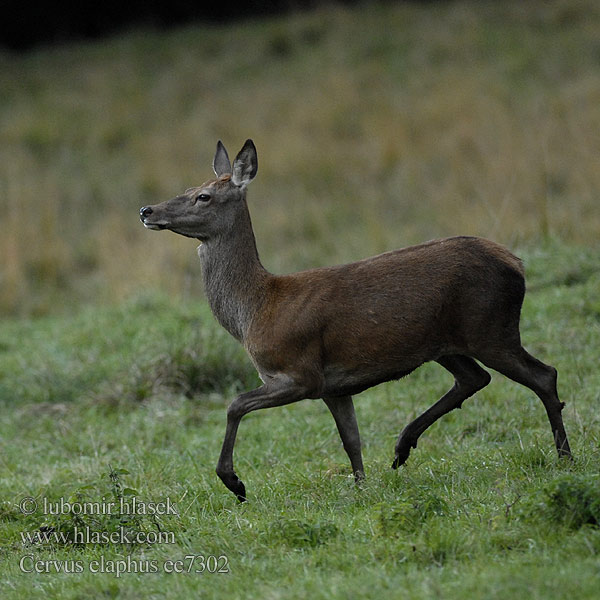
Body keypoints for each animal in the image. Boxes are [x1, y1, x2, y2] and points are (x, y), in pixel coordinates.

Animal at [139, 141, 572, 502]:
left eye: (203, 196)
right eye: (190, 186)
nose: (147, 211)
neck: (256, 309)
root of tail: (516, 263)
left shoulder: (301, 373)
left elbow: (235, 404)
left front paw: (235, 483)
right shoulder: (334, 387)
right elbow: (351, 439)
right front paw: (362, 488)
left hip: (491, 328)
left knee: (543, 374)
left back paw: (564, 457)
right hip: (446, 343)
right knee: (474, 378)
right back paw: (401, 448)